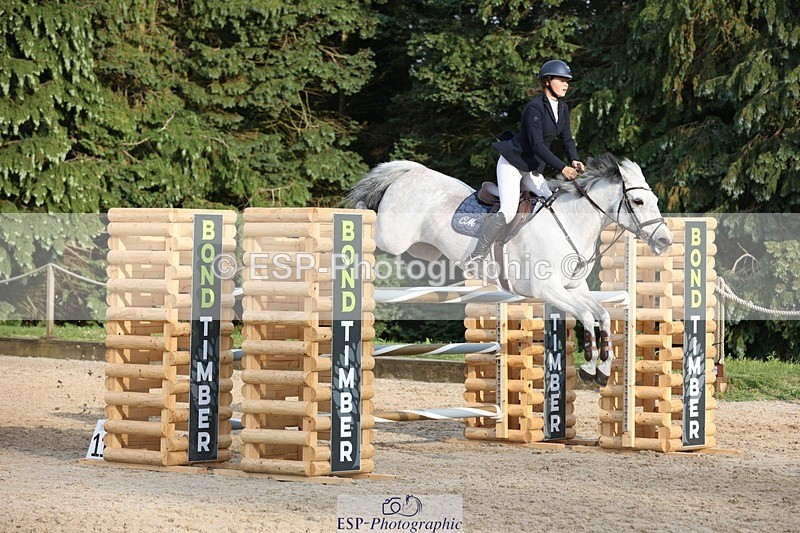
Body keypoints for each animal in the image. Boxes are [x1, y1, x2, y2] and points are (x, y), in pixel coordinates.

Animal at [346, 153, 673, 385]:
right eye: (638, 201)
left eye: (654, 199)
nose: (665, 241)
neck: (569, 222)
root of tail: (413, 172)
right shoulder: (548, 290)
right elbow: (588, 317)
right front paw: (590, 368)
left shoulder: (573, 288)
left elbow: (602, 315)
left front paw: (602, 370)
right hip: (393, 237)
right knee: (371, 223)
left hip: (422, 247)